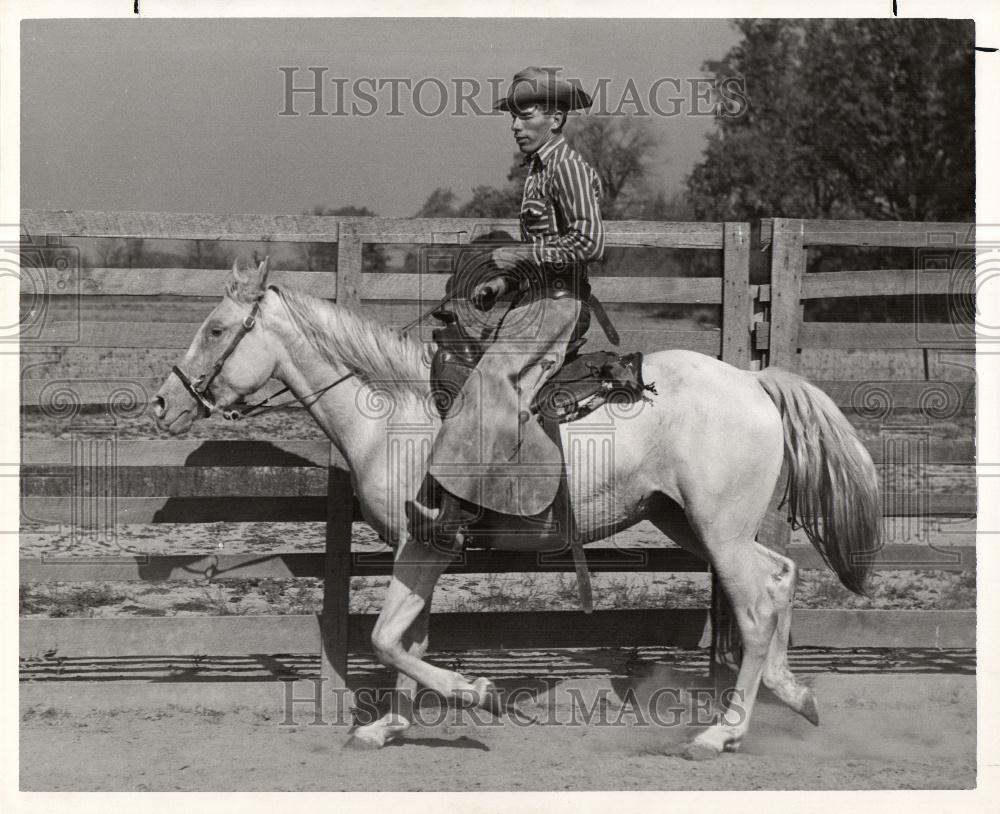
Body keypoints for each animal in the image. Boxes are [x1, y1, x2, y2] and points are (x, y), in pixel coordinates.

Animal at [150, 258, 884, 760]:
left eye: (216, 328)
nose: (163, 402)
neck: (395, 413)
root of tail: (754, 382)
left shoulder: (425, 543)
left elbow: (387, 638)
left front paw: (478, 694)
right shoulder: (425, 551)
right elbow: (407, 639)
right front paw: (391, 724)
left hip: (718, 531)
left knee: (756, 608)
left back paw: (720, 733)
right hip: (692, 522)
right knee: (779, 578)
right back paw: (793, 693)